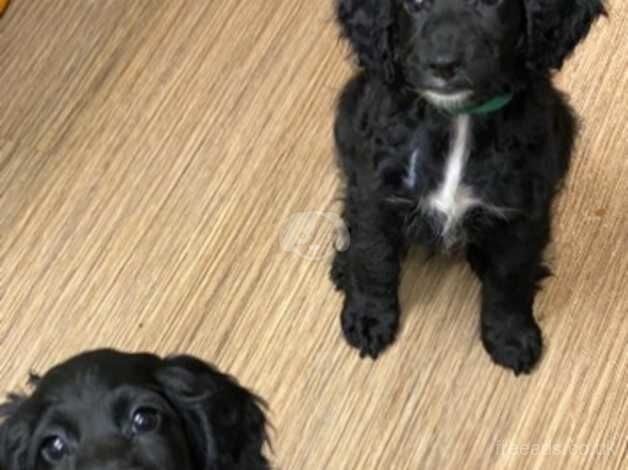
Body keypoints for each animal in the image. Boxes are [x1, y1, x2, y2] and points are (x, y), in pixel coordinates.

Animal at [334, 0, 604, 374]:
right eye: (414, 4)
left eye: (491, 3)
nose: (443, 64)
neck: (458, 118)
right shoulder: (376, 193)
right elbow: (373, 258)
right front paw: (368, 318)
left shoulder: (524, 210)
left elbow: (511, 278)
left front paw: (511, 336)